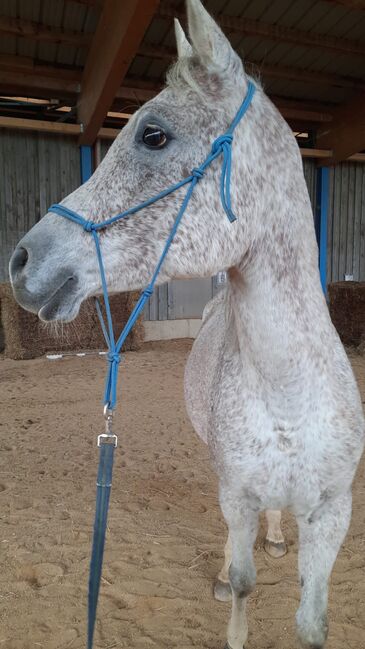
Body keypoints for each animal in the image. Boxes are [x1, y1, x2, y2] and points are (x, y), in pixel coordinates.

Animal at [9, 1, 364, 648]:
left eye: (153, 134)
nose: (21, 261)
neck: (289, 394)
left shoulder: (333, 513)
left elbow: (313, 624)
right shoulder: (237, 493)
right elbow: (244, 584)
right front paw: (231, 593)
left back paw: (279, 537)